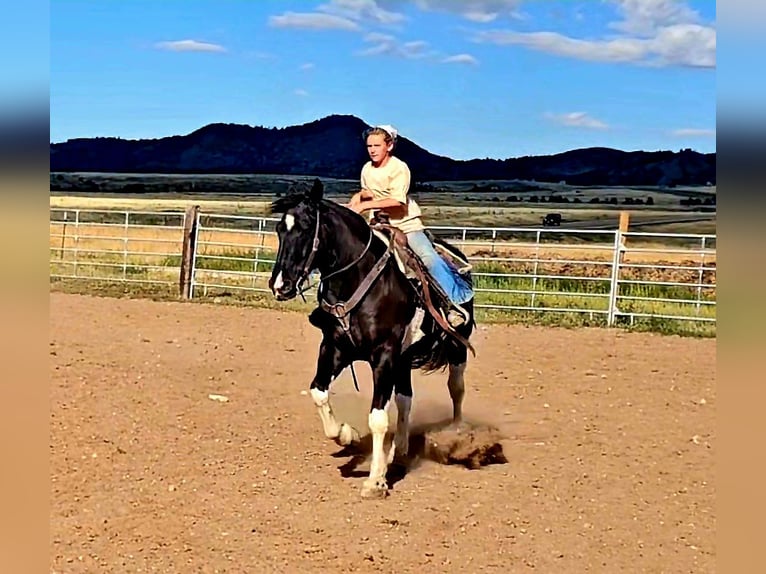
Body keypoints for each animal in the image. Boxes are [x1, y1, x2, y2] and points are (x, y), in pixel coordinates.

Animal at [268, 180, 474, 500]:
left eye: (304, 227)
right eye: (280, 229)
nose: (280, 285)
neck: (358, 277)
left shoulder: (384, 355)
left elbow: (377, 418)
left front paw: (375, 481)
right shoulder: (335, 348)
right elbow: (318, 392)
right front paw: (346, 435)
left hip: (456, 347)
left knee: (456, 388)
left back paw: (457, 435)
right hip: (404, 360)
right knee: (405, 399)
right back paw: (397, 451)